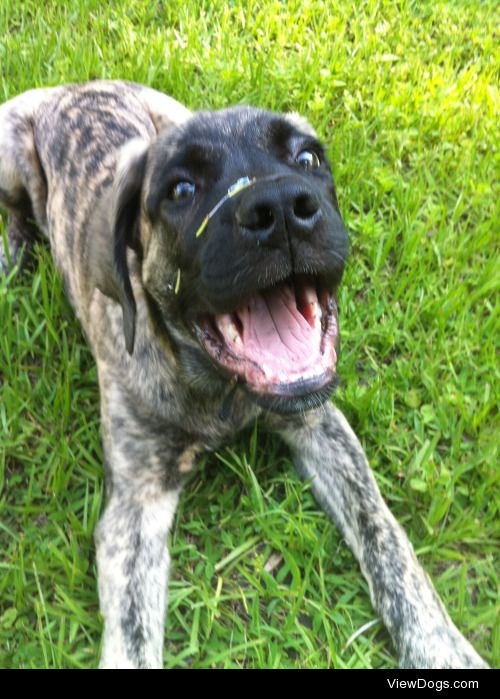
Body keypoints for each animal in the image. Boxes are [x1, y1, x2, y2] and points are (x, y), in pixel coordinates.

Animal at [0, 79, 486, 668]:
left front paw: (443, 649)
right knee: (17, 212)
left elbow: (386, 536)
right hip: (7, 150)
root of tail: (75, 86)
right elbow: (133, 633)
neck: (222, 389)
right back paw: (14, 252)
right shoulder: (135, 505)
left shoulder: (322, 427)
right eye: (181, 189)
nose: (281, 208)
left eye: (307, 158)